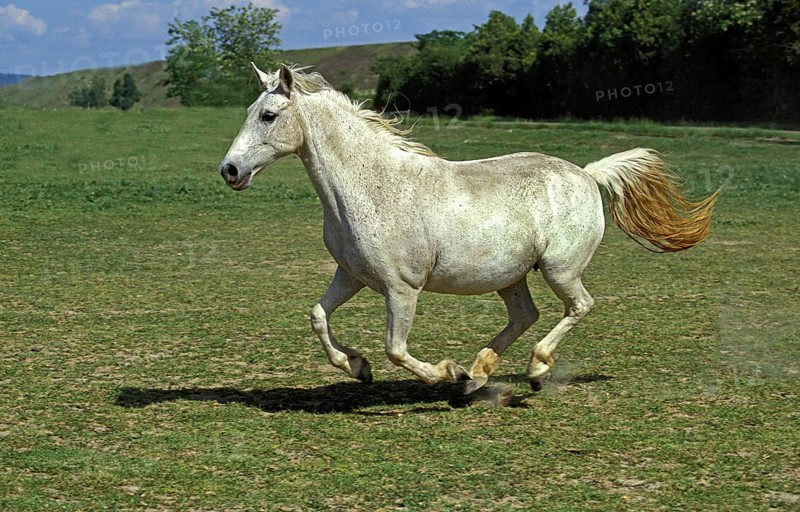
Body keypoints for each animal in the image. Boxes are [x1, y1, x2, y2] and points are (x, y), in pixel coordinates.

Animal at [219, 64, 718, 393]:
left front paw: (445, 372)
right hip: (511, 275)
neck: (369, 186)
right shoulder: (352, 276)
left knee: (579, 306)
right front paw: (358, 367)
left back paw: (532, 371)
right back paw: (480, 372)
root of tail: (586, 173)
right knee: (525, 315)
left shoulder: (401, 288)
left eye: (268, 115)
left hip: (559, 269)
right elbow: (319, 317)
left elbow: (396, 348)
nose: (230, 170)